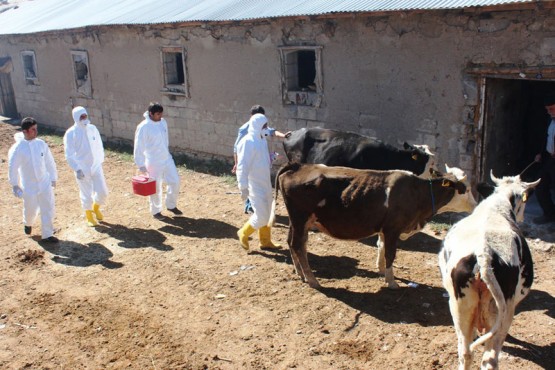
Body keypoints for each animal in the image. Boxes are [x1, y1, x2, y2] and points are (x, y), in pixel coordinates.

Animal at [274, 162, 478, 290]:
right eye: (466, 189)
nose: (476, 205)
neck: (417, 193)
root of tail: (298, 165)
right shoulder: (392, 229)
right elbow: (390, 254)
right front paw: (391, 281)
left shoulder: (384, 230)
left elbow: (381, 247)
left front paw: (381, 271)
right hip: (300, 218)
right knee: (298, 245)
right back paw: (312, 279)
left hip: (298, 222)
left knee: (293, 243)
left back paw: (300, 273)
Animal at [438, 173, 540, 370]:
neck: (497, 205)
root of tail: (483, 253)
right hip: (504, 311)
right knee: (490, 358)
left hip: (459, 307)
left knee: (465, 352)